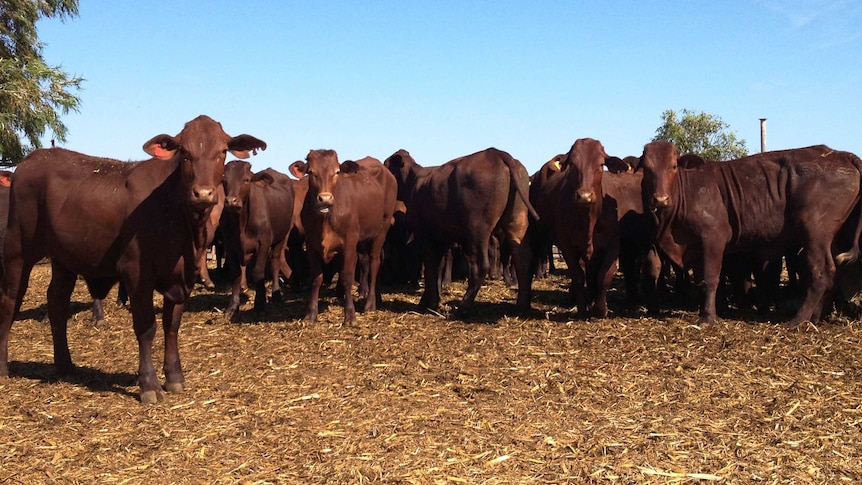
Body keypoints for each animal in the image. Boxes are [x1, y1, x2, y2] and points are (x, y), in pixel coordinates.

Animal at [0, 114, 266, 400]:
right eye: (184, 153)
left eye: (222, 152)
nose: (203, 193)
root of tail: (33, 158)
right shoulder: (137, 272)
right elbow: (146, 327)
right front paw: (149, 385)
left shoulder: (183, 276)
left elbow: (172, 325)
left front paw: (175, 378)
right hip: (18, 249)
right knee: (10, 300)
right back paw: (3, 367)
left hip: (64, 258)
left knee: (57, 302)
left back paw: (65, 366)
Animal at [221, 161, 296, 320]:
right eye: (224, 180)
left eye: (246, 180)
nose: (231, 201)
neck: (241, 223)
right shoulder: (229, 246)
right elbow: (235, 274)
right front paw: (233, 307)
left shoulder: (264, 243)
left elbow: (258, 273)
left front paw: (260, 305)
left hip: (282, 237)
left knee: (275, 262)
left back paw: (276, 295)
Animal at [290, 149, 398, 324]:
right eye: (311, 172)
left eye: (336, 172)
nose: (325, 198)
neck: (325, 220)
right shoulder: (311, 244)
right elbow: (316, 278)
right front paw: (310, 314)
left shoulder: (349, 242)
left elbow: (347, 276)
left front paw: (350, 316)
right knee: (366, 262)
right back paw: (376, 297)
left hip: (382, 228)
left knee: (374, 262)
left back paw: (370, 304)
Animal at [386, 146, 540, 312]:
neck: (414, 181)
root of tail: (496, 153)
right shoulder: (442, 235)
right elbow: (437, 266)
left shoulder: (423, 233)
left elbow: (430, 266)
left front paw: (430, 303)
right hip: (516, 220)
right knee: (523, 258)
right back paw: (522, 305)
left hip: (478, 229)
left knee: (480, 265)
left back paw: (464, 306)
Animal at [640, 141, 862, 326]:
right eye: (646, 168)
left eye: (673, 166)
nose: (660, 199)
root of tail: (840, 154)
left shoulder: (713, 237)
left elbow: (711, 277)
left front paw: (708, 317)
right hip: (834, 236)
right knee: (833, 273)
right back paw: (815, 317)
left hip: (814, 233)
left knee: (820, 272)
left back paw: (798, 319)